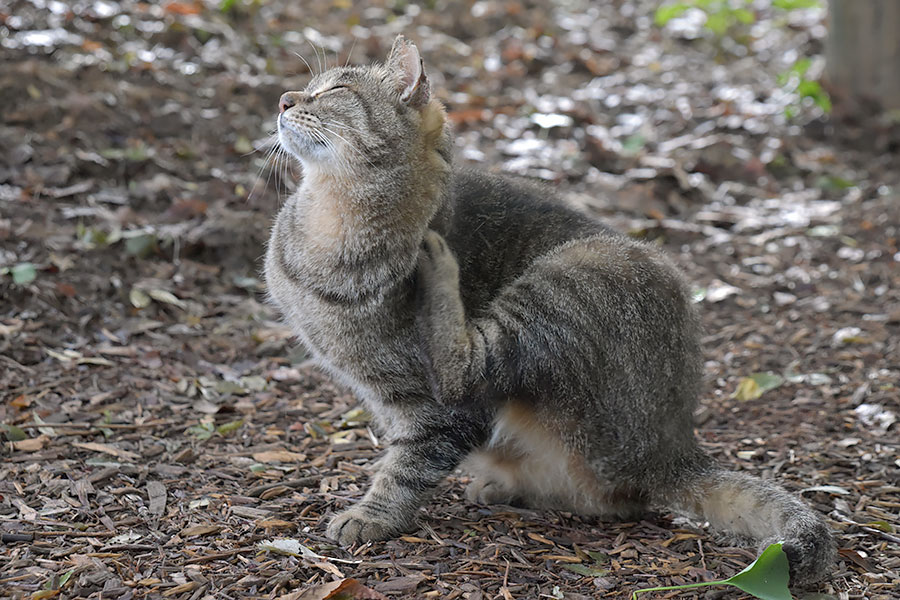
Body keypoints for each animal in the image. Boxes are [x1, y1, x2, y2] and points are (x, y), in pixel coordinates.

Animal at [264, 34, 832, 584]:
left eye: (334, 90)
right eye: (306, 88)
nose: (284, 98)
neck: (326, 228)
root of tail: (676, 451)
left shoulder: (442, 413)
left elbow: (409, 464)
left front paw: (373, 514)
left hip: (572, 277)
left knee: (469, 368)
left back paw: (439, 267)